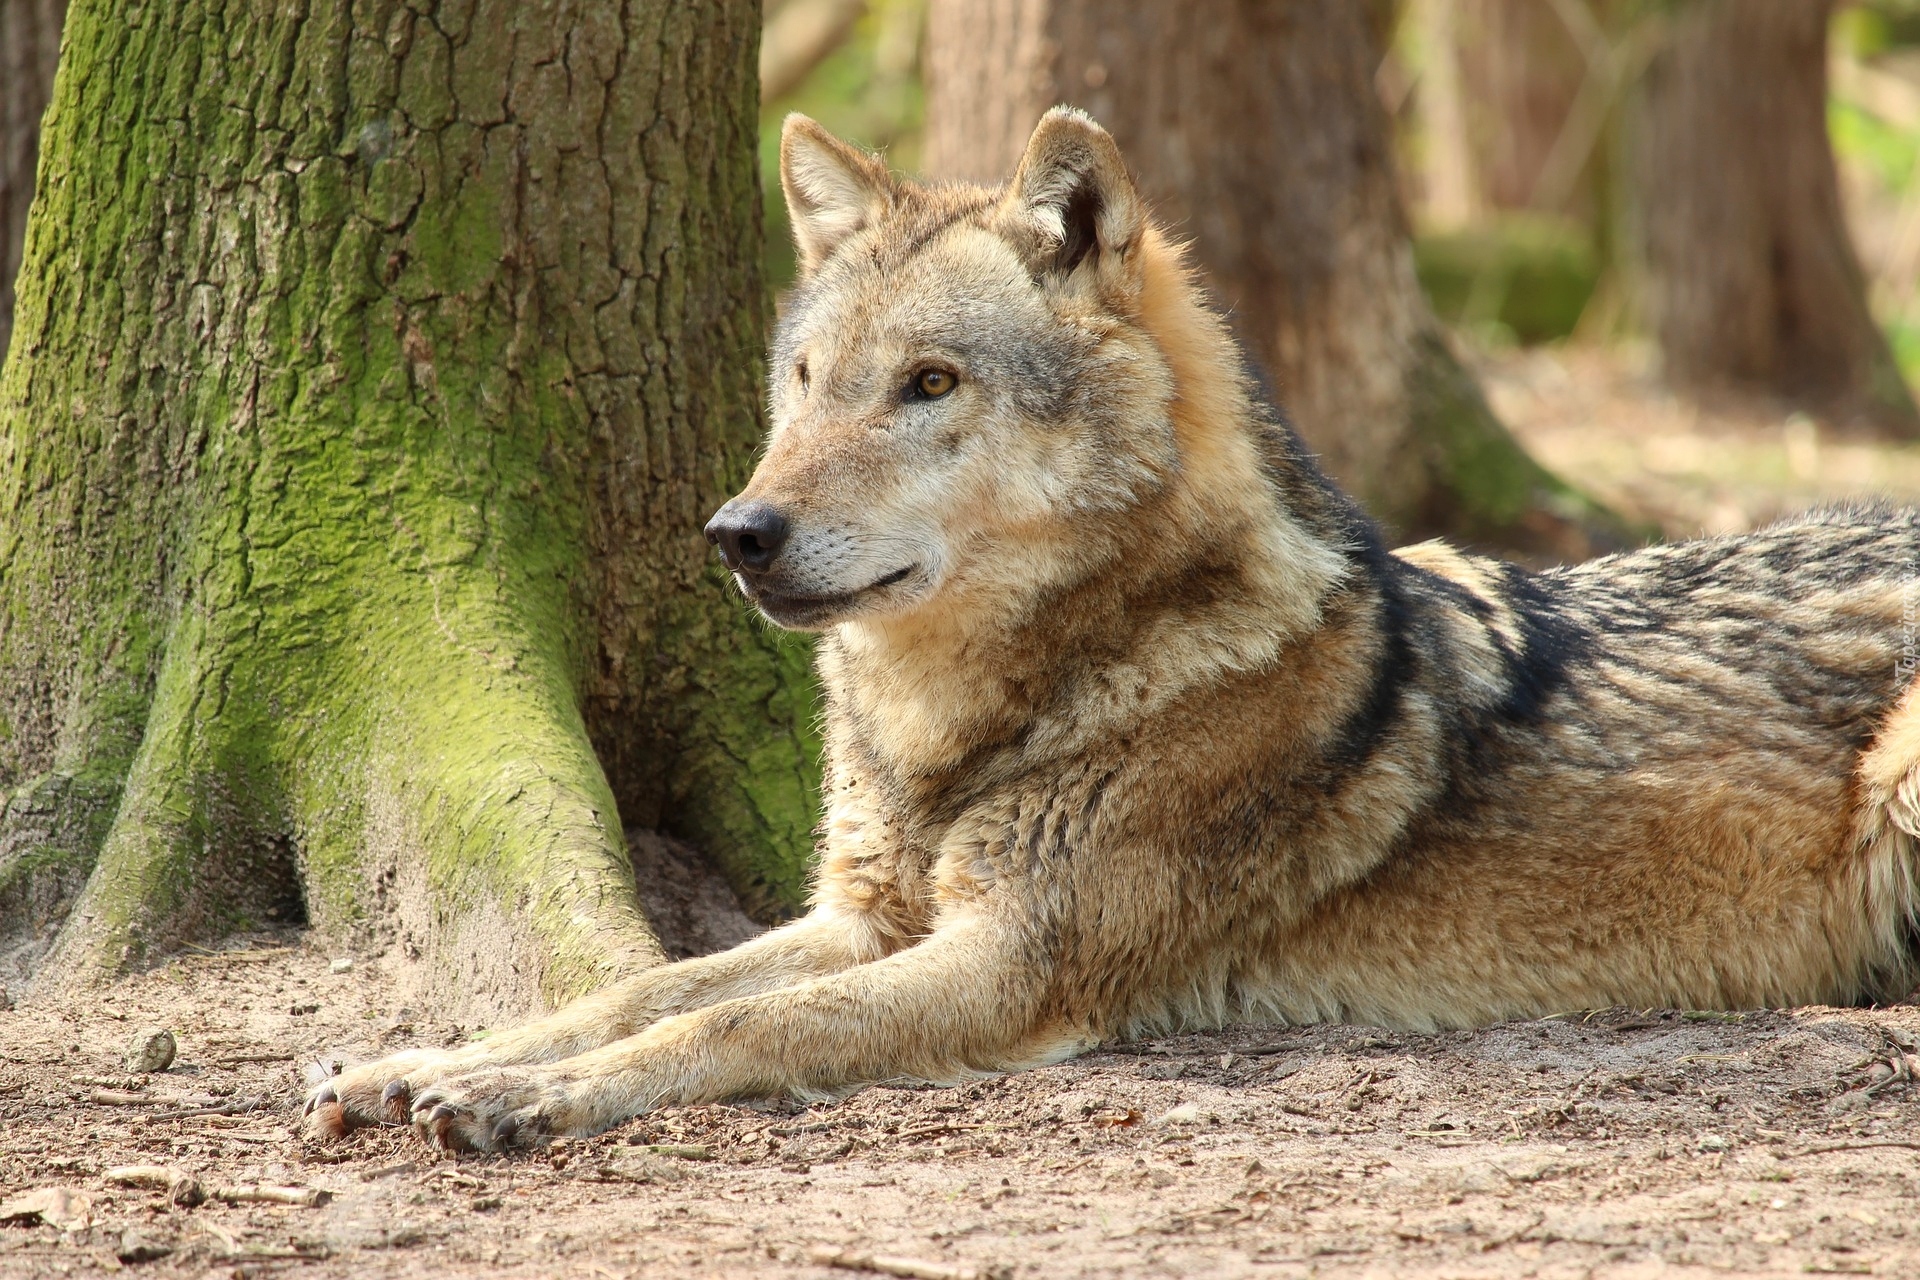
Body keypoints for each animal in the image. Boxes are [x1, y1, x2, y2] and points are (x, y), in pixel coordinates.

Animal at [303, 110, 1920, 1151]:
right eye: (809, 381)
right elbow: (634, 985)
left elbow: (729, 1030)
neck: (969, 731)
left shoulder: (1011, 962)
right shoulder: (859, 917)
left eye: (931, 384)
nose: (735, 534)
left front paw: (519, 1101)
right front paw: (423, 1059)